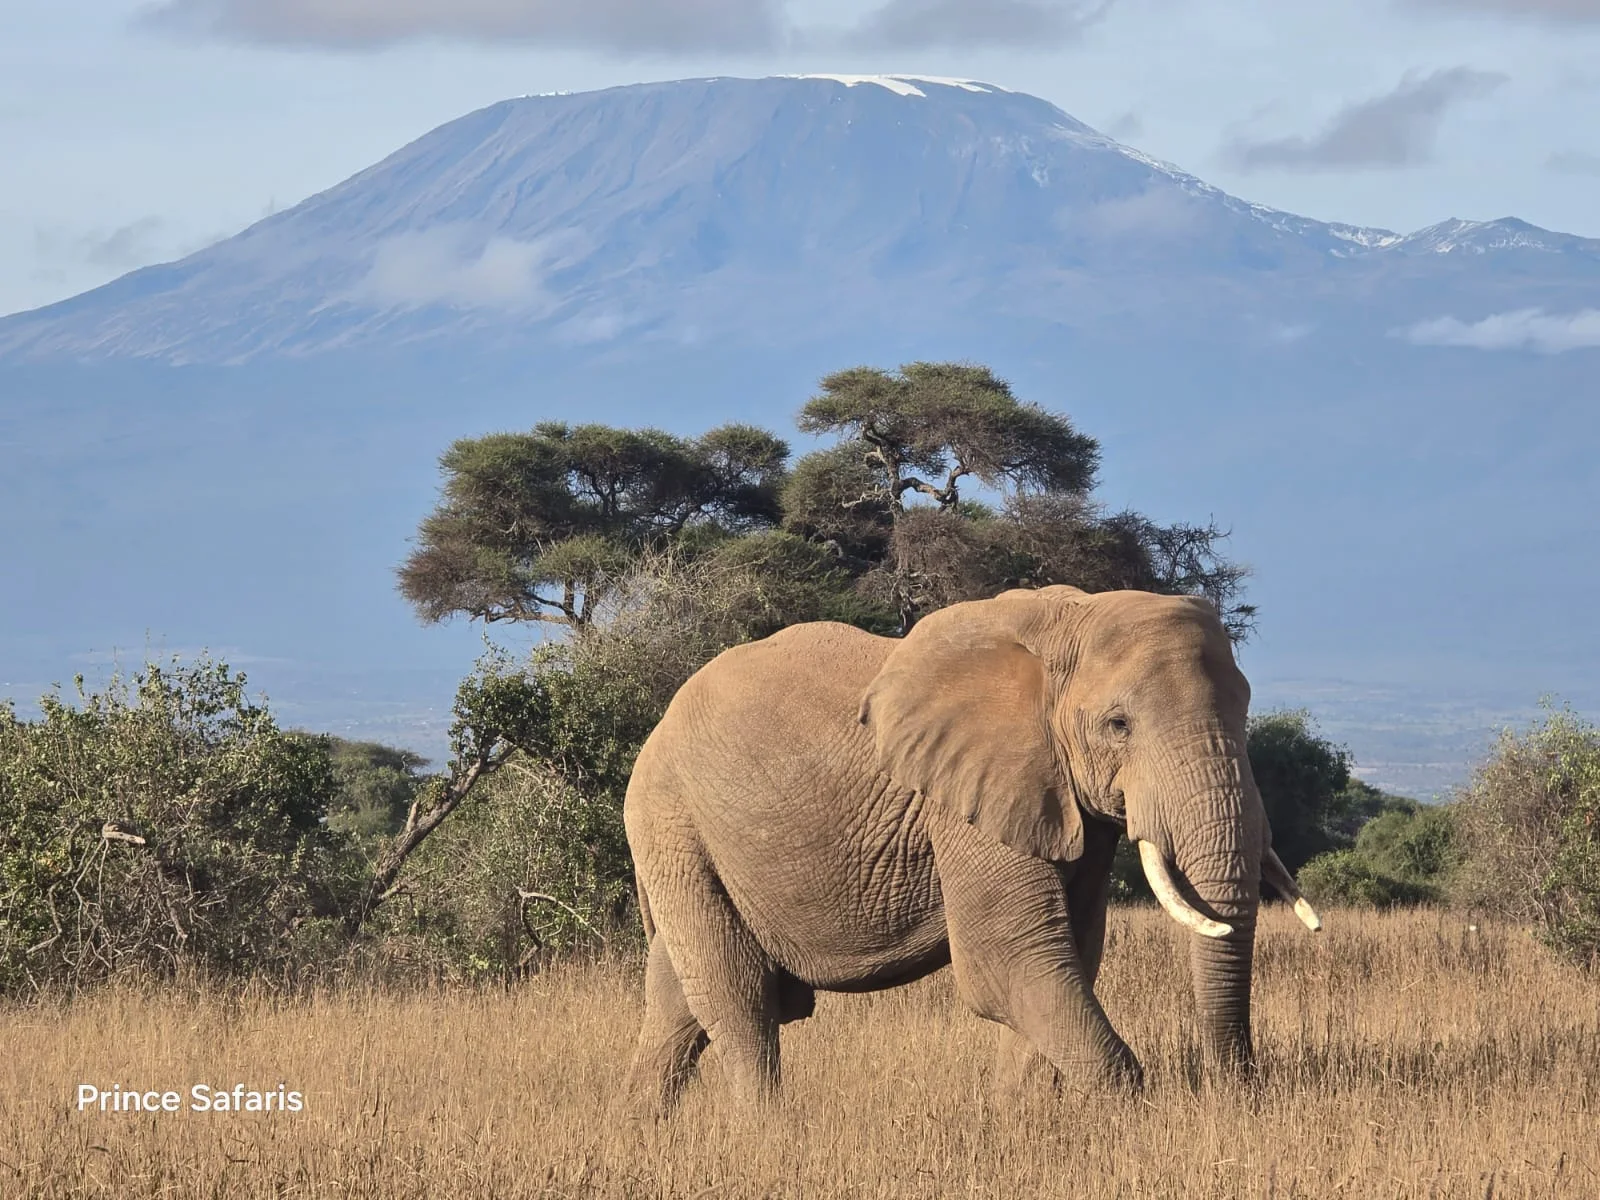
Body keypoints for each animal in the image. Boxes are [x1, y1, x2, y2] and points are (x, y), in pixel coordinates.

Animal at [619, 585, 1321, 1114]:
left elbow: (1069, 952)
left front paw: (1021, 1121)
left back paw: (641, 1127)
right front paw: (1127, 1119)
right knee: (741, 1004)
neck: (1069, 619)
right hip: (673, 825)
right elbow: (1007, 961)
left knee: (677, 1006)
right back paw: (770, 1132)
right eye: (1118, 725)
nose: (1238, 1095)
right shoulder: (967, 798)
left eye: (1246, 712)